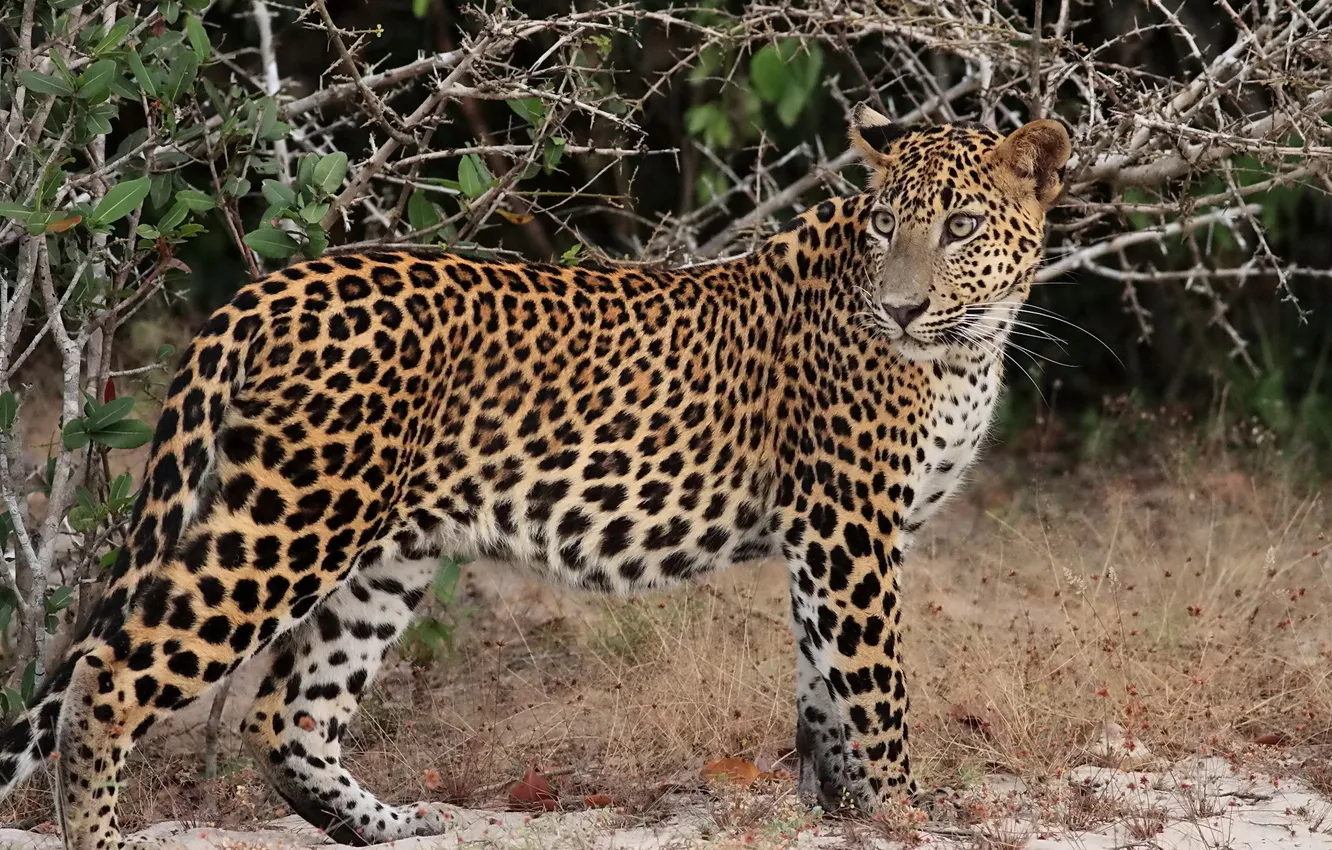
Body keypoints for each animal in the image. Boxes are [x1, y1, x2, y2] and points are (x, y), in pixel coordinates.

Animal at [0, 103, 1071, 849]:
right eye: (889, 222)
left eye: (962, 226)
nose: (901, 308)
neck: (967, 347)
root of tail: (275, 287)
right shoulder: (848, 525)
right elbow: (876, 691)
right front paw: (906, 812)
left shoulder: (836, 540)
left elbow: (824, 693)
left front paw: (842, 812)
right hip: (292, 524)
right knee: (110, 675)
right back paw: (101, 834)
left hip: (383, 551)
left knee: (287, 712)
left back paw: (393, 825)